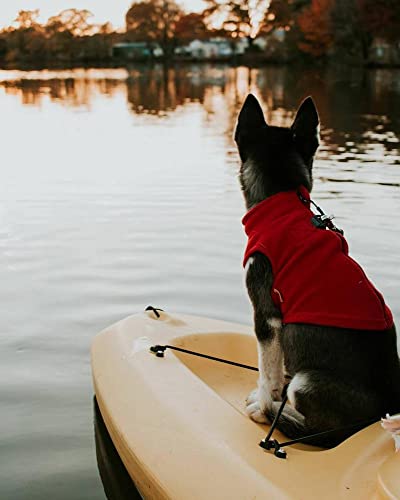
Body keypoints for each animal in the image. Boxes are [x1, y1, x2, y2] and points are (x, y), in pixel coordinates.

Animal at [234, 95, 400, 448]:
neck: (283, 204)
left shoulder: (267, 316)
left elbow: (267, 370)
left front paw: (263, 400)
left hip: (307, 381)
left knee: (317, 432)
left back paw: (275, 414)